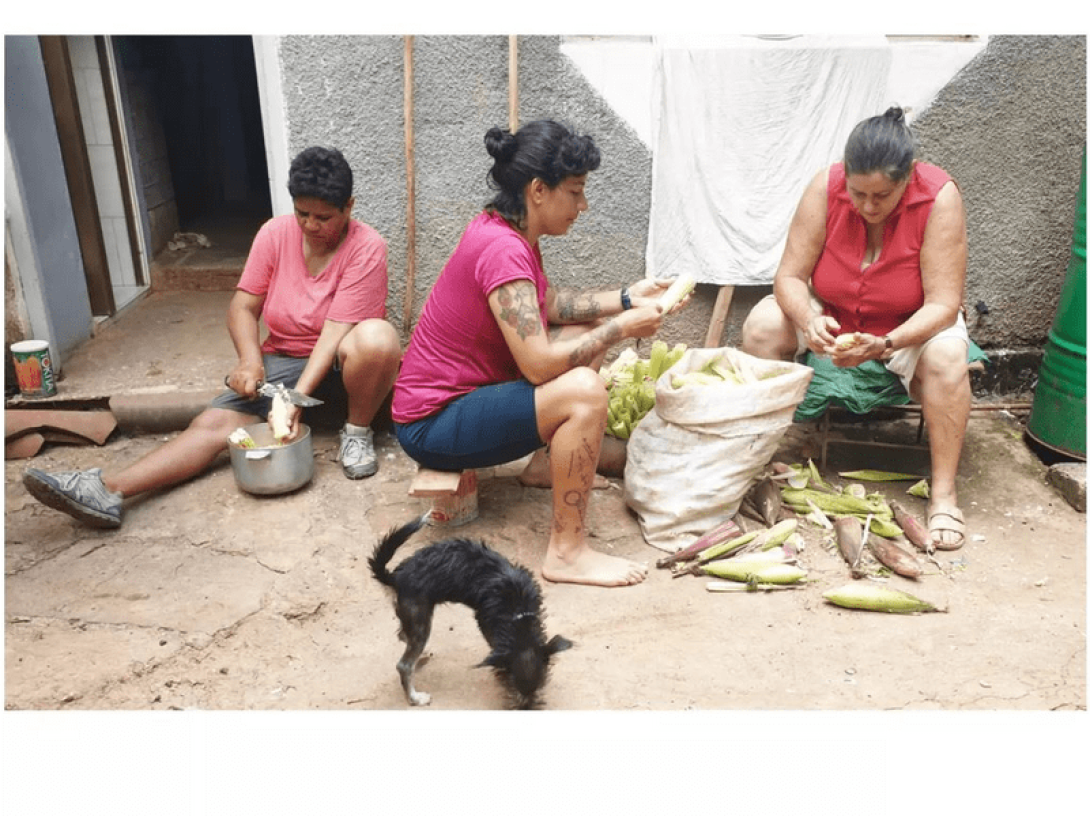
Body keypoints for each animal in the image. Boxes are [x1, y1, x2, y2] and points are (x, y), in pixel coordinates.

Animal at [368, 516, 575, 705]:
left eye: (540, 687)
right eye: (511, 687)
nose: (526, 708)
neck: (517, 611)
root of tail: (394, 577)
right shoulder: (486, 623)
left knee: (403, 635)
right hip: (420, 618)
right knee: (404, 665)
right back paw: (415, 698)